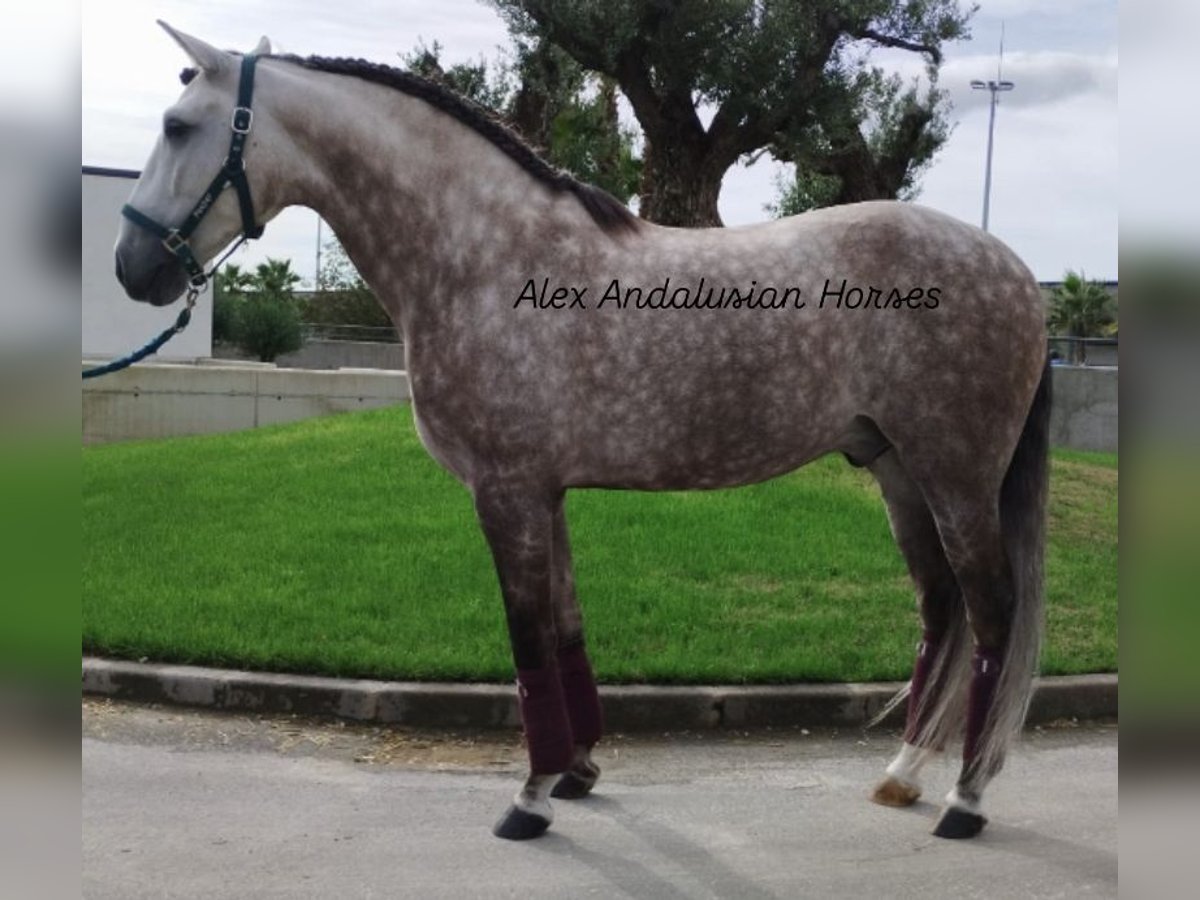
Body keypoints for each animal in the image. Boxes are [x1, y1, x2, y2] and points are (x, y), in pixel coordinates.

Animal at [114, 26, 1051, 844]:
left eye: (177, 126)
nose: (132, 266)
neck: (485, 260)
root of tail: (1011, 266)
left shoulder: (507, 492)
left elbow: (528, 640)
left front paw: (529, 799)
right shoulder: (547, 492)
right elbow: (566, 633)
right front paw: (577, 770)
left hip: (956, 478)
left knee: (994, 615)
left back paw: (964, 801)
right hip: (896, 471)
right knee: (942, 609)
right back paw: (904, 773)